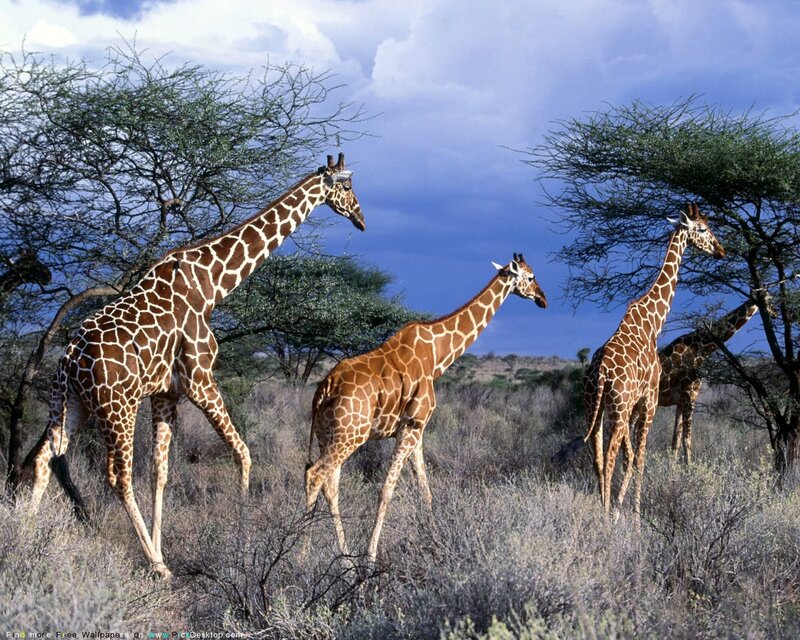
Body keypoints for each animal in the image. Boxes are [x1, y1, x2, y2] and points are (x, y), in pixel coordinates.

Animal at [28, 153, 364, 578]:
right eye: (348, 186)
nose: (360, 218)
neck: (211, 285)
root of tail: (69, 358)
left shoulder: (165, 392)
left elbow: (160, 472)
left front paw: (165, 543)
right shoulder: (200, 379)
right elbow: (243, 453)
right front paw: (242, 544)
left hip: (72, 403)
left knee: (44, 459)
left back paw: (24, 537)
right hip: (115, 407)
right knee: (117, 476)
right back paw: (157, 567)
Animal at [305, 253, 547, 561]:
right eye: (531, 276)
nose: (542, 299)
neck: (437, 356)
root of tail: (326, 387)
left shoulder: (415, 431)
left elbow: (424, 490)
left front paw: (434, 543)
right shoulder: (412, 427)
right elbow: (386, 490)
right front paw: (370, 557)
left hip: (328, 435)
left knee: (330, 485)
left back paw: (342, 557)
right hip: (350, 435)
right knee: (315, 476)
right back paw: (299, 556)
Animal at [583, 203, 725, 519]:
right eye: (703, 229)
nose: (721, 250)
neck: (653, 324)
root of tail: (600, 374)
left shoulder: (639, 405)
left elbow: (632, 458)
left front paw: (622, 510)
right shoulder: (648, 401)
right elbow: (640, 459)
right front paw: (633, 517)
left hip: (592, 409)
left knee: (597, 458)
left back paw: (601, 512)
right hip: (618, 408)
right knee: (609, 457)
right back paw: (607, 519)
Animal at [659, 297, 759, 464]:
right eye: (767, 297)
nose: (773, 312)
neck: (699, 348)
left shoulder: (681, 400)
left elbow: (675, 442)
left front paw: (673, 470)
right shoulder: (689, 396)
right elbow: (687, 440)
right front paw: (689, 469)